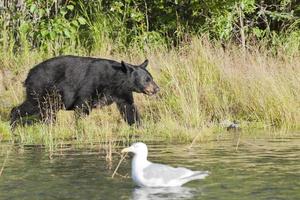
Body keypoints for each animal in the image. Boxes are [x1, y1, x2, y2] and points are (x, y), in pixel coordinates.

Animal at [9, 55, 159, 126]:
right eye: (147, 79)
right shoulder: (92, 84)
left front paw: (138, 126)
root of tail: (29, 74)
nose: (157, 88)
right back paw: (13, 121)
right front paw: (80, 127)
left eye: (151, 78)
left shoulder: (122, 93)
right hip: (41, 88)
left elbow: (129, 109)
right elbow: (82, 106)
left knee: (48, 112)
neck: (115, 80)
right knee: (32, 105)